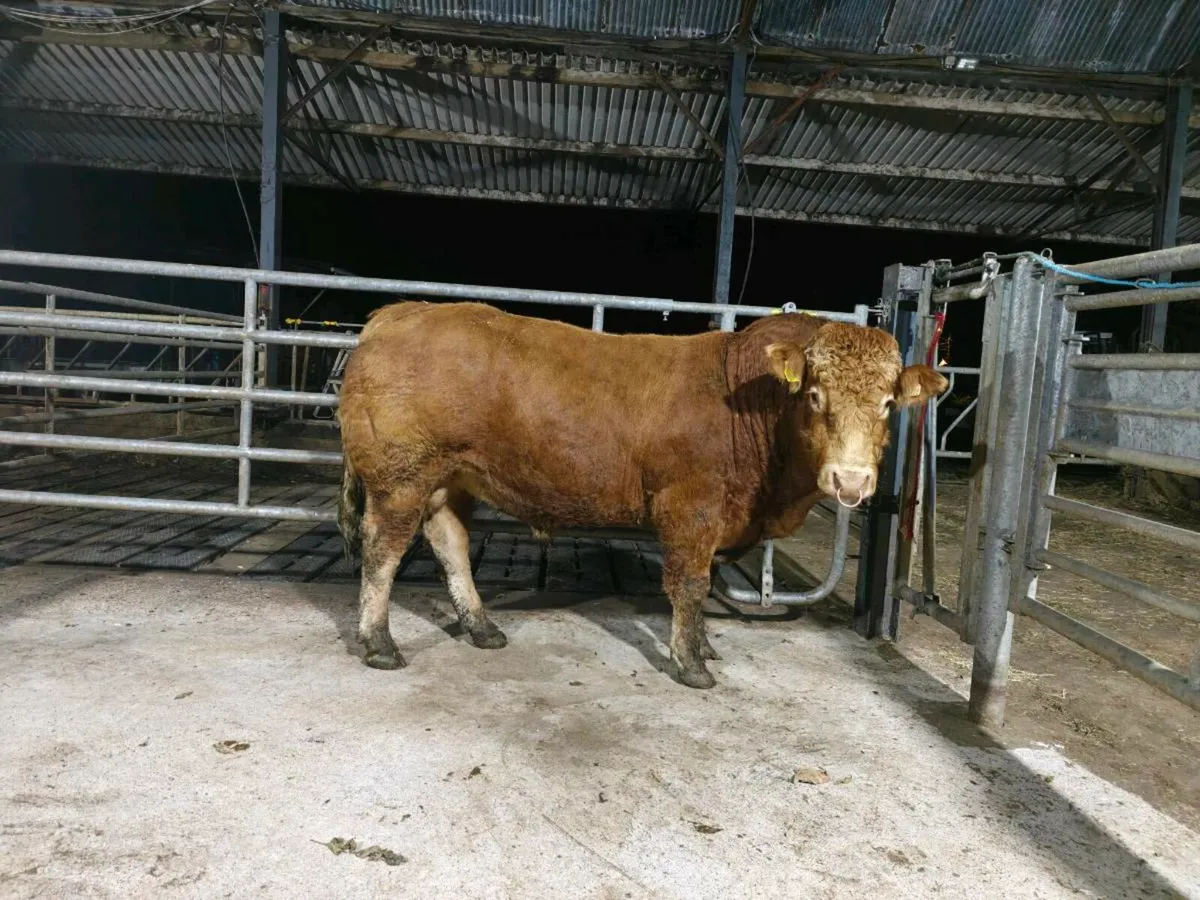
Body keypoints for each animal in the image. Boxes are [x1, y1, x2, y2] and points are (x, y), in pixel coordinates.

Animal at [336, 301, 947, 689]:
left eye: (889, 404)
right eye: (815, 395)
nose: (851, 481)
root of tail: (396, 313)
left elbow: (701, 585)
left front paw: (702, 644)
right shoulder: (691, 507)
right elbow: (690, 584)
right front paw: (692, 663)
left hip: (451, 478)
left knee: (451, 544)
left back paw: (482, 628)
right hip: (401, 477)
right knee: (383, 550)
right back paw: (379, 643)